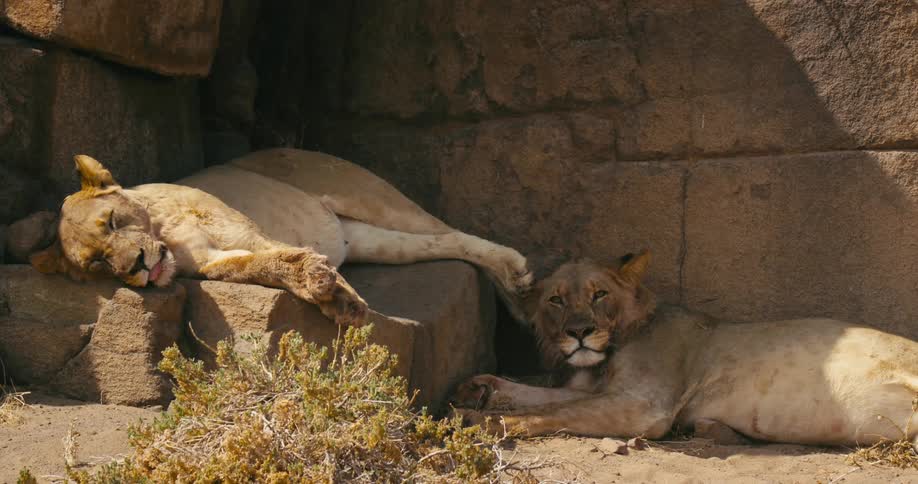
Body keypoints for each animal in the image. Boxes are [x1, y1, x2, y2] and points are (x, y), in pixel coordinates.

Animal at [28, 149, 532, 326]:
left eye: (112, 221)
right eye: (96, 263)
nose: (136, 265)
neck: (165, 231)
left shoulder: (244, 228)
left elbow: (278, 252)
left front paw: (337, 293)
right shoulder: (214, 262)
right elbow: (263, 265)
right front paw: (334, 298)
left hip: (368, 195)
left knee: (449, 229)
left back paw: (516, 272)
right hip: (364, 238)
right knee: (443, 245)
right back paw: (514, 289)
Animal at [451, 250, 918, 447]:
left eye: (599, 294)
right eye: (556, 300)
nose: (580, 332)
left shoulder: (645, 405)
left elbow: (551, 412)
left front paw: (477, 420)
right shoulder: (596, 390)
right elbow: (540, 395)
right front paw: (477, 388)